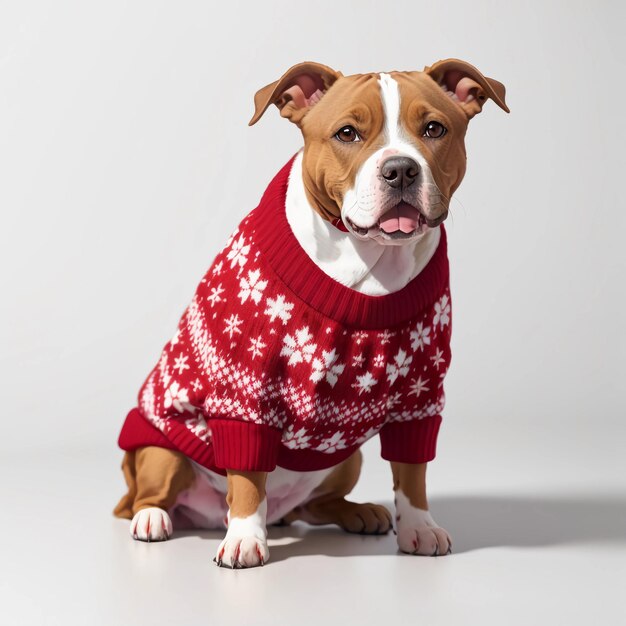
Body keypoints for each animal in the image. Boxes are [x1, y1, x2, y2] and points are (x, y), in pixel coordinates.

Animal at [112, 58, 508, 564]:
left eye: (434, 128)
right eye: (347, 134)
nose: (400, 169)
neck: (369, 263)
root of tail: (207, 516)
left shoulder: (419, 395)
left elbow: (412, 470)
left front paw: (418, 527)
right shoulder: (247, 392)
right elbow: (247, 476)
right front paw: (245, 538)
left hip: (345, 458)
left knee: (311, 507)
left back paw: (359, 513)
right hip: (161, 450)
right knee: (156, 493)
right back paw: (155, 519)